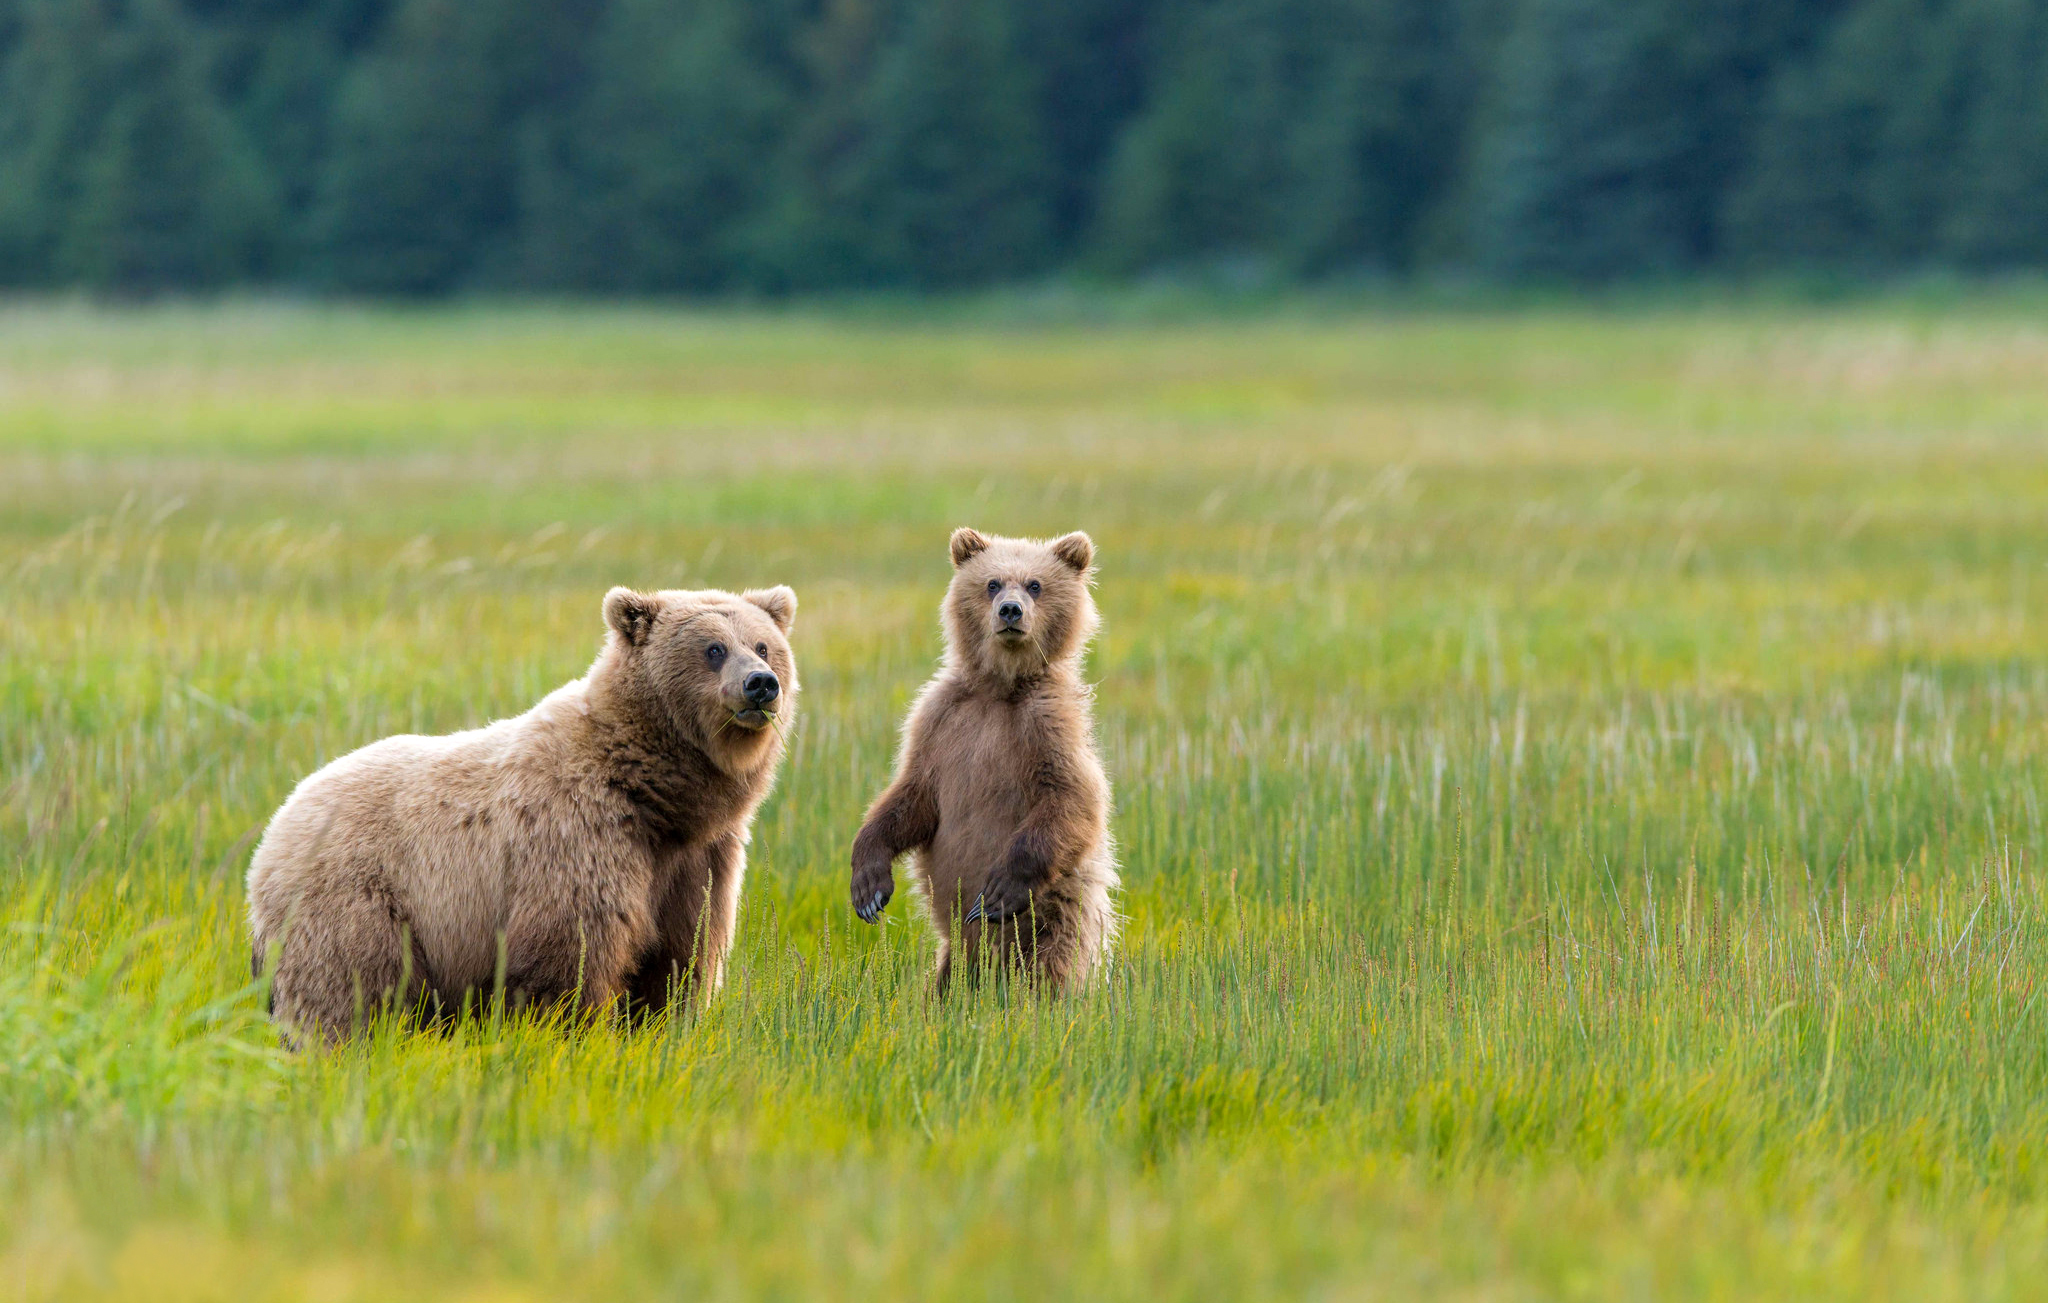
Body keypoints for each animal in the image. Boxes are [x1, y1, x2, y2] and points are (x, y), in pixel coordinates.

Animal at [247, 585, 798, 1044]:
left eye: (763, 645)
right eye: (713, 649)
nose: (761, 684)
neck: (651, 793)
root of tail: (274, 828)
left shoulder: (697, 859)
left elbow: (680, 959)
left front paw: (655, 1033)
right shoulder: (577, 836)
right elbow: (569, 959)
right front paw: (570, 1037)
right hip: (357, 901)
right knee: (349, 988)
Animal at [847, 528, 1122, 987]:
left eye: (1035, 585)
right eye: (992, 583)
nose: (1011, 610)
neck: (1001, 686)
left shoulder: (1048, 726)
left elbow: (1072, 799)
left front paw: (996, 894)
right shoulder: (941, 723)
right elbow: (910, 796)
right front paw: (868, 887)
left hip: (1058, 916)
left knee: (1051, 969)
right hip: (957, 954)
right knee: (947, 977)